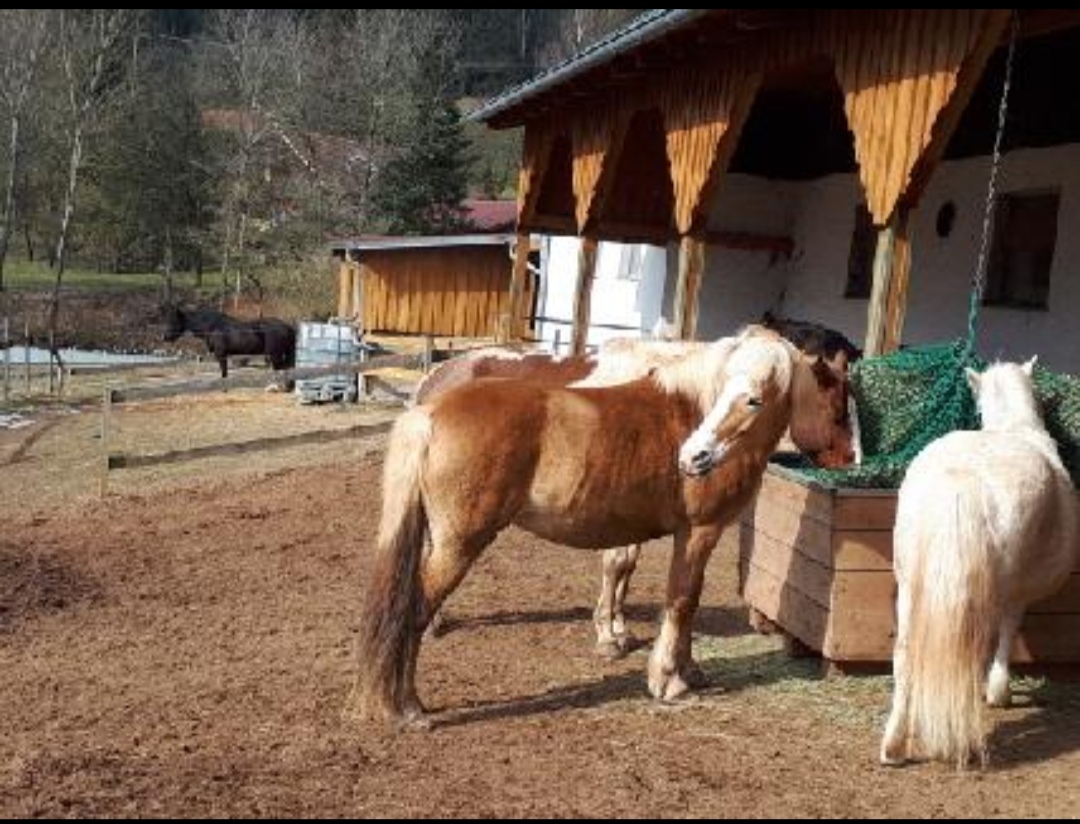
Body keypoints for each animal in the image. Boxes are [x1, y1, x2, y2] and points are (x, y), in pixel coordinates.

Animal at [162, 304, 296, 380]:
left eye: (173, 321)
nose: (164, 337)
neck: (212, 327)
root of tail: (288, 327)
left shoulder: (221, 355)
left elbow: (224, 374)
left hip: (275, 356)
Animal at [350, 326, 842, 725]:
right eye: (728, 388)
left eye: (755, 396)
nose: (693, 457)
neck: (686, 408)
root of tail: (431, 410)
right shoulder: (698, 531)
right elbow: (680, 600)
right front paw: (666, 680)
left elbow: (677, 595)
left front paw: (685, 668)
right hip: (458, 544)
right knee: (413, 611)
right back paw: (407, 707)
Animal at [880, 358, 1079, 769]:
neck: (1014, 427)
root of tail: (964, 480)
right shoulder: (1016, 595)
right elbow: (1009, 632)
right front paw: (1000, 691)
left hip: (910, 587)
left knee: (905, 654)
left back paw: (893, 745)